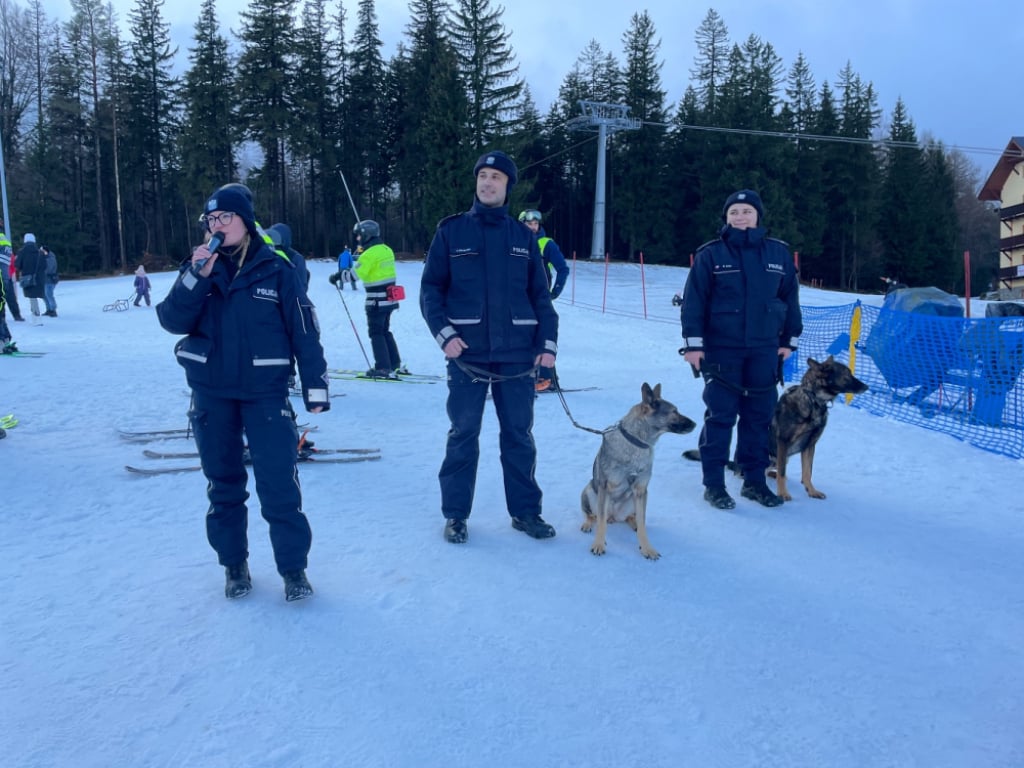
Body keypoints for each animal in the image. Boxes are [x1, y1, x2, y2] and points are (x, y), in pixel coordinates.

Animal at [581, 382, 700, 561]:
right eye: (674, 411)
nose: (695, 424)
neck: (636, 442)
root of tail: (613, 517)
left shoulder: (641, 490)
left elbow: (643, 522)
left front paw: (647, 548)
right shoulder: (605, 487)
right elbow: (601, 522)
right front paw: (599, 544)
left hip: (633, 500)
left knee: (632, 517)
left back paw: (633, 524)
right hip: (589, 491)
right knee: (593, 515)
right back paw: (587, 524)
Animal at [770, 358, 868, 501]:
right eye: (847, 374)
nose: (867, 387)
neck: (813, 401)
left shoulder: (810, 445)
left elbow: (807, 471)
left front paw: (811, 490)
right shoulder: (783, 441)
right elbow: (782, 472)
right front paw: (783, 493)